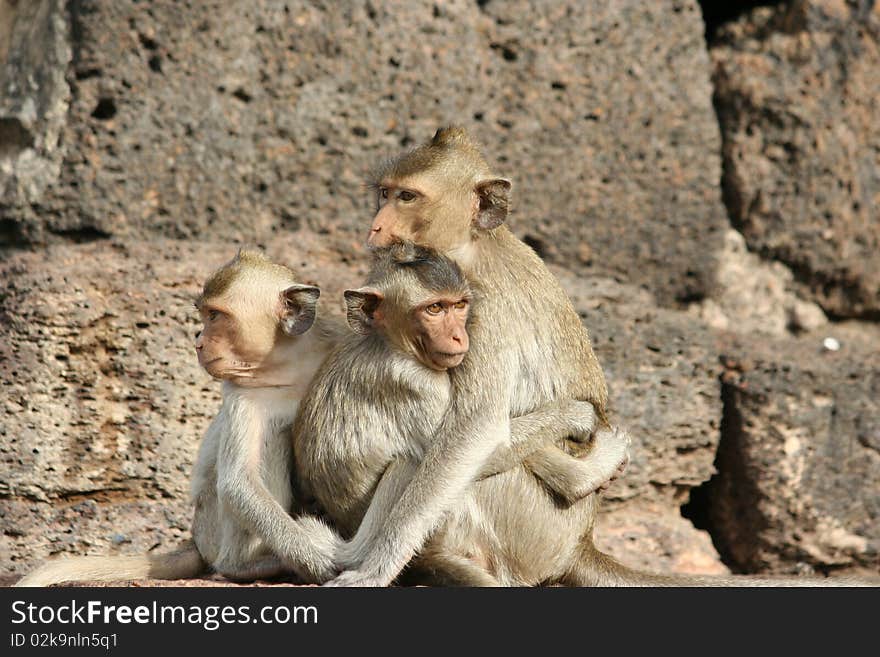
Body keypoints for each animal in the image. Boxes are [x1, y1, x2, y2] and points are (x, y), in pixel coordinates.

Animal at [18, 250, 344, 584]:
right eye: (206, 315)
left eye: (215, 316)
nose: (198, 342)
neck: (286, 364)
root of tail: (197, 540)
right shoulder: (241, 395)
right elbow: (239, 483)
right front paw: (314, 558)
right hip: (212, 528)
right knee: (270, 442)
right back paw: (242, 565)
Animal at [296, 243, 632, 588]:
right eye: (434, 309)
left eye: (458, 305)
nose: (459, 335)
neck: (388, 342)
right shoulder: (418, 383)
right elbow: (476, 443)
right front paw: (575, 418)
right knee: (420, 463)